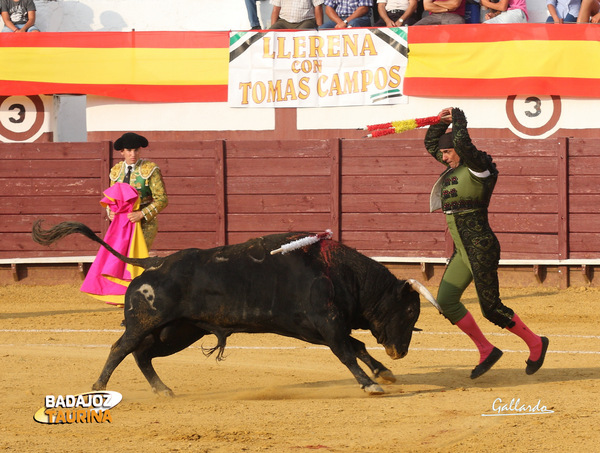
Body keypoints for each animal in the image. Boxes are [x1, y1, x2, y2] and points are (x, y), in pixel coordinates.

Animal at [31, 221, 440, 394]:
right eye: (408, 313)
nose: (400, 351)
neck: (339, 272)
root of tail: (155, 263)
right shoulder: (327, 325)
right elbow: (348, 353)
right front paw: (371, 384)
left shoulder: (319, 330)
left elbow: (356, 346)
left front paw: (384, 372)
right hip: (147, 323)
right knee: (121, 347)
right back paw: (99, 386)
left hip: (178, 332)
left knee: (143, 355)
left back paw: (163, 390)